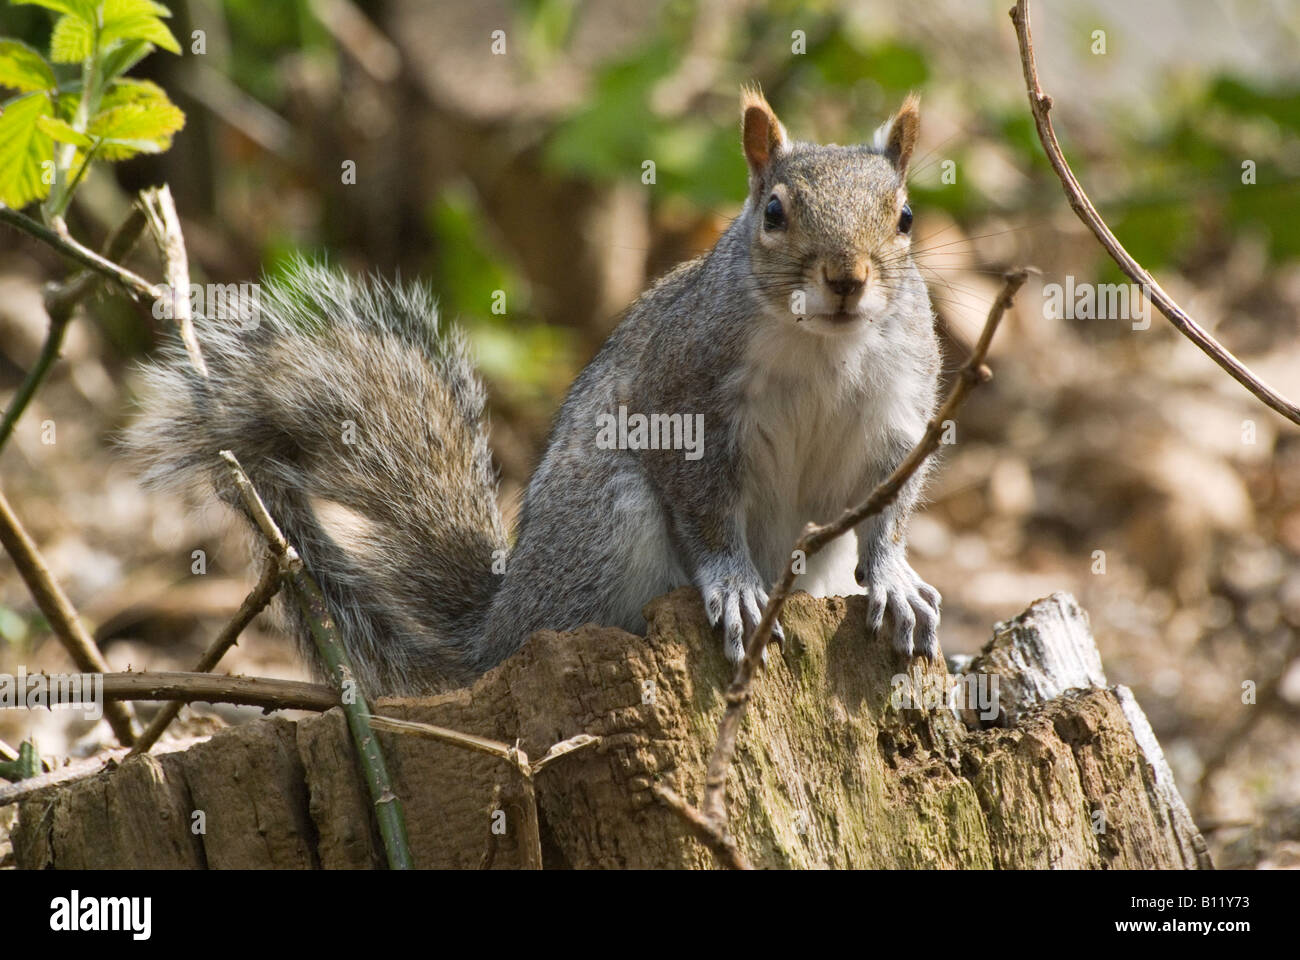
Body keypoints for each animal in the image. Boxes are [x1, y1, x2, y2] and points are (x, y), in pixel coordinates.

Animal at [122, 89, 946, 697]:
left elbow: (889, 505)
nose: (846, 278)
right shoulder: (684, 396)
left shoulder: (900, 417)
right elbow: (707, 509)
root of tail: (499, 628)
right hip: (608, 521)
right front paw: (736, 585)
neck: (823, 346)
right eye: (774, 212)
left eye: (905, 216)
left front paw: (896, 580)